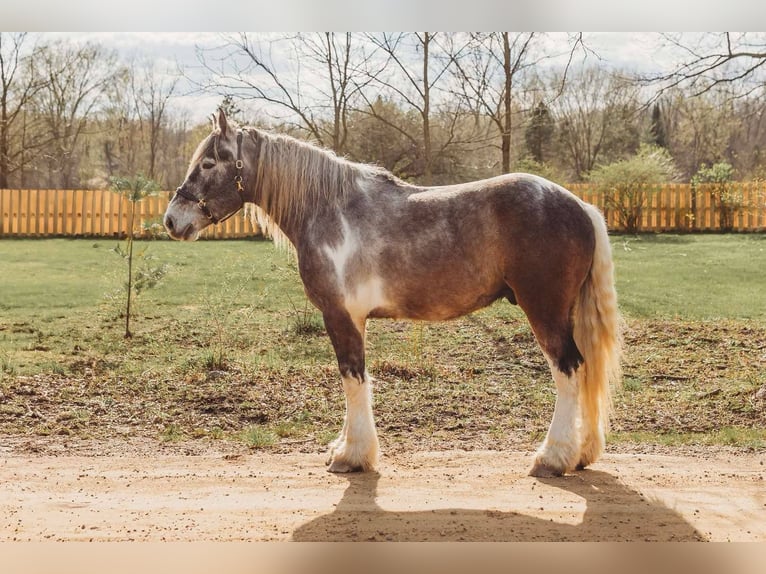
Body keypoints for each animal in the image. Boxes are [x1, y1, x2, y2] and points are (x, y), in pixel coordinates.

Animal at [163, 109, 622, 477]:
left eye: (208, 163)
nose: (171, 220)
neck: (330, 209)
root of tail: (581, 207)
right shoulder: (353, 319)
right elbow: (355, 380)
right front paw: (343, 446)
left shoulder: (340, 316)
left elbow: (353, 378)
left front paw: (352, 456)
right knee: (584, 372)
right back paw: (581, 454)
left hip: (544, 311)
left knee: (568, 371)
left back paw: (553, 458)